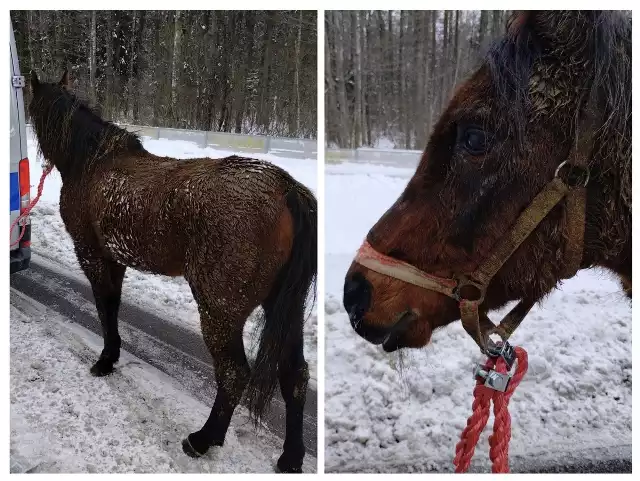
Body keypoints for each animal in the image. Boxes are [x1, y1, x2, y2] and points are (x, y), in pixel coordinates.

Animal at [28, 71, 318, 472]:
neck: (91, 162)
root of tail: (286, 189)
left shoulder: (92, 256)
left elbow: (104, 308)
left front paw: (105, 360)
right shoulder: (115, 260)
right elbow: (112, 307)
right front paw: (112, 356)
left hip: (220, 310)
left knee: (234, 374)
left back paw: (203, 439)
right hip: (285, 309)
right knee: (295, 375)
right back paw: (290, 456)